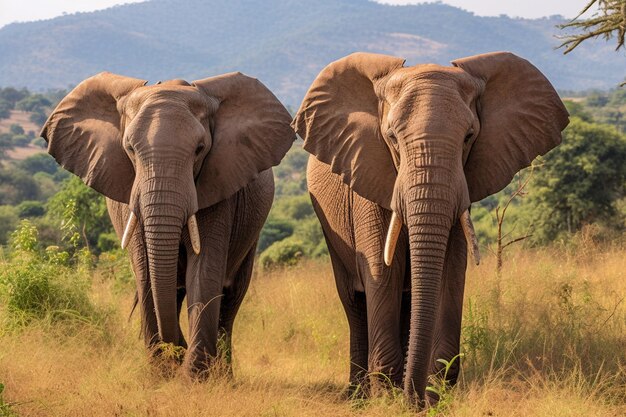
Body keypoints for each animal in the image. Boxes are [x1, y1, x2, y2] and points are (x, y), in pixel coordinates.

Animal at [41, 70, 294, 374]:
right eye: (129, 149)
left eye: (200, 149)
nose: (177, 351)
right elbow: (145, 271)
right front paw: (161, 373)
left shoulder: (220, 186)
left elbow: (205, 269)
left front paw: (194, 376)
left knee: (231, 296)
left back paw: (223, 375)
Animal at [292, 50, 564, 404]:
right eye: (391, 138)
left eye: (469, 137)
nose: (414, 400)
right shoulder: (367, 174)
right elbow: (383, 272)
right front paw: (390, 400)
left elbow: (451, 271)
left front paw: (434, 398)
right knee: (355, 301)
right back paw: (358, 396)